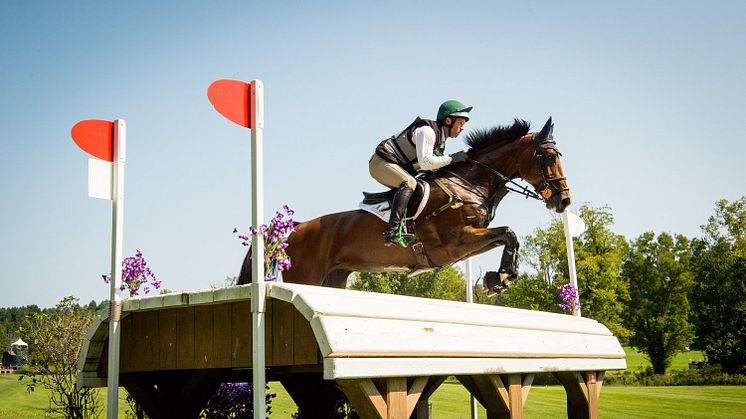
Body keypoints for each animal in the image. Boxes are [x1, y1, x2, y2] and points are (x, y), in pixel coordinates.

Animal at [238, 117, 568, 296]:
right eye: (550, 157)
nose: (563, 200)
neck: (469, 183)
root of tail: (296, 228)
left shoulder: (467, 243)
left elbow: (508, 235)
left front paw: (500, 278)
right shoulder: (454, 243)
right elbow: (509, 232)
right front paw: (499, 278)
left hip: (334, 278)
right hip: (306, 276)